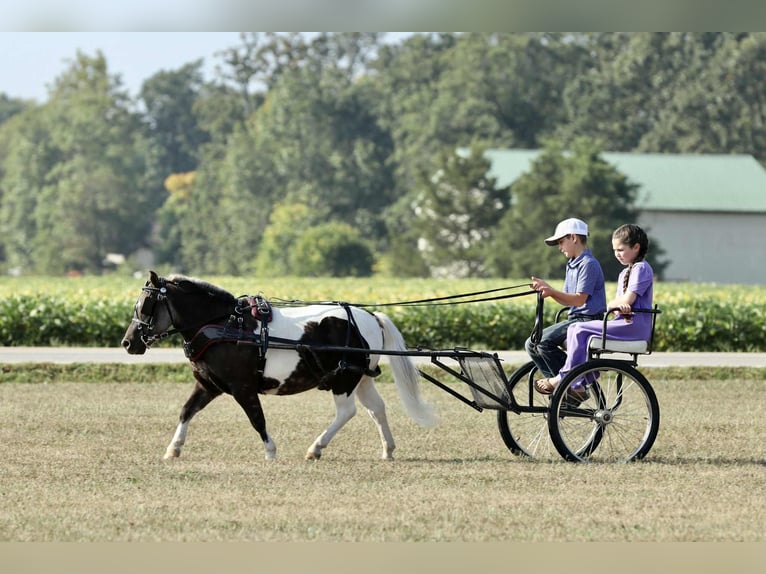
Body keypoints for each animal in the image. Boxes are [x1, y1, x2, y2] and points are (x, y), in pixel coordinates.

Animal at [121, 271, 437, 461]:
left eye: (146, 304)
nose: (128, 342)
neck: (224, 325)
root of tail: (371, 317)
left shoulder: (242, 387)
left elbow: (257, 419)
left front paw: (270, 451)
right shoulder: (208, 385)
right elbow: (186, 411)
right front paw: (173, 448)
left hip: (344, 380)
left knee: (347, 412)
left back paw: (316, 448)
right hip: (360, 378)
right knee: (377, 409)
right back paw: (388, 449)